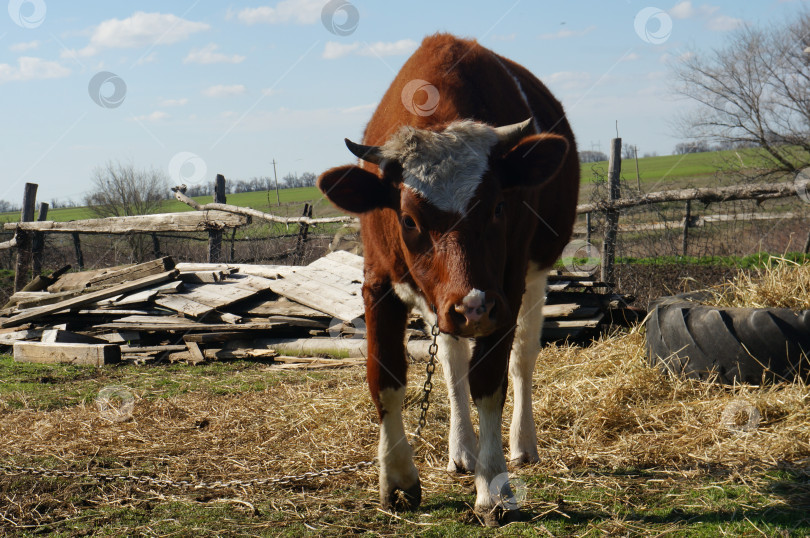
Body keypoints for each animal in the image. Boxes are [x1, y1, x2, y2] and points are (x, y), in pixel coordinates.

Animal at [318, 33, 576, 524]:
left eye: (498, 207)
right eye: (408, 219)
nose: (472, 306)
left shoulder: (505, 292)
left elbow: (490, 382)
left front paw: (493, 489)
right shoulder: (378, 283)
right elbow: (386, 378)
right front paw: (397, 479)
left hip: (531, 279)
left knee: (522, 359)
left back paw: (522, 444)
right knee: (453, 363)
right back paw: (462, 451)